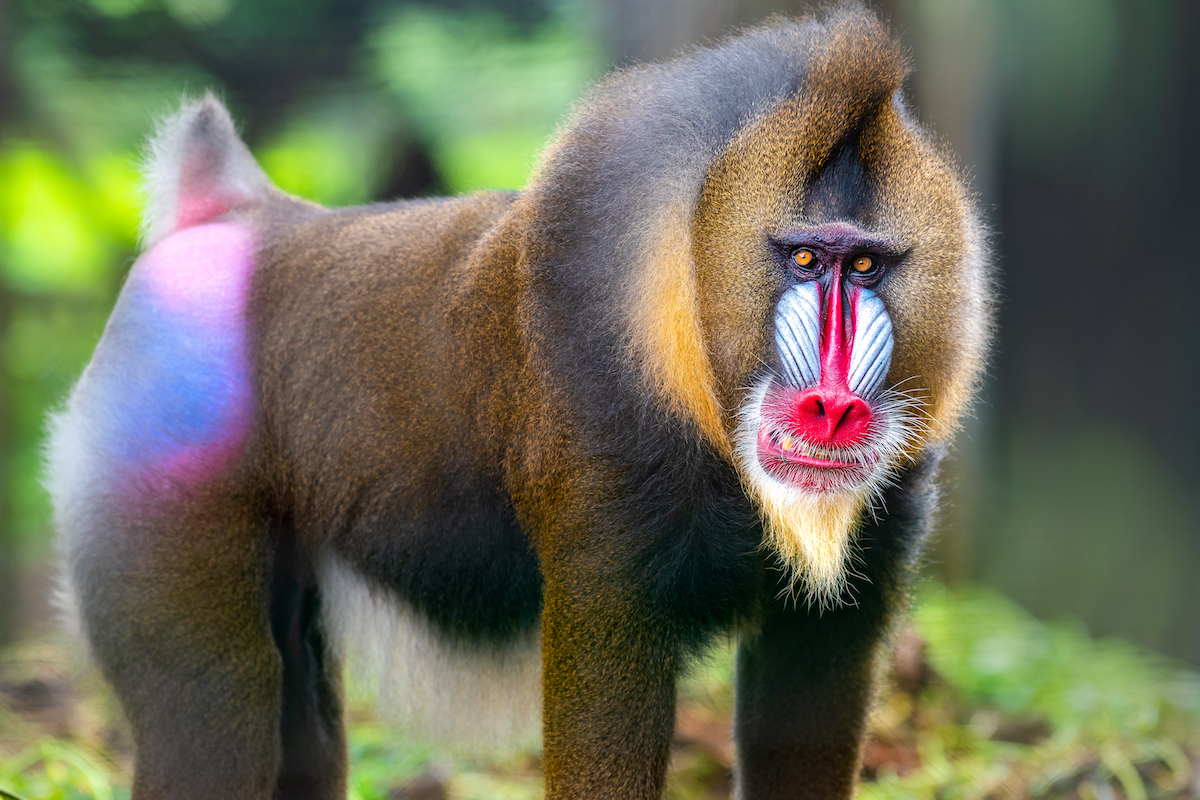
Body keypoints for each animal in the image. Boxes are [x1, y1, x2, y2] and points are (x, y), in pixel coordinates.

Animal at [45, 4, 992, 799]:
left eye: (864, 266)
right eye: (803, 259)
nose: (832, 408)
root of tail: (226, 215)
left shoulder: (852, 589)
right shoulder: (606, 558)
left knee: (301, 723)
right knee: (218, 702)